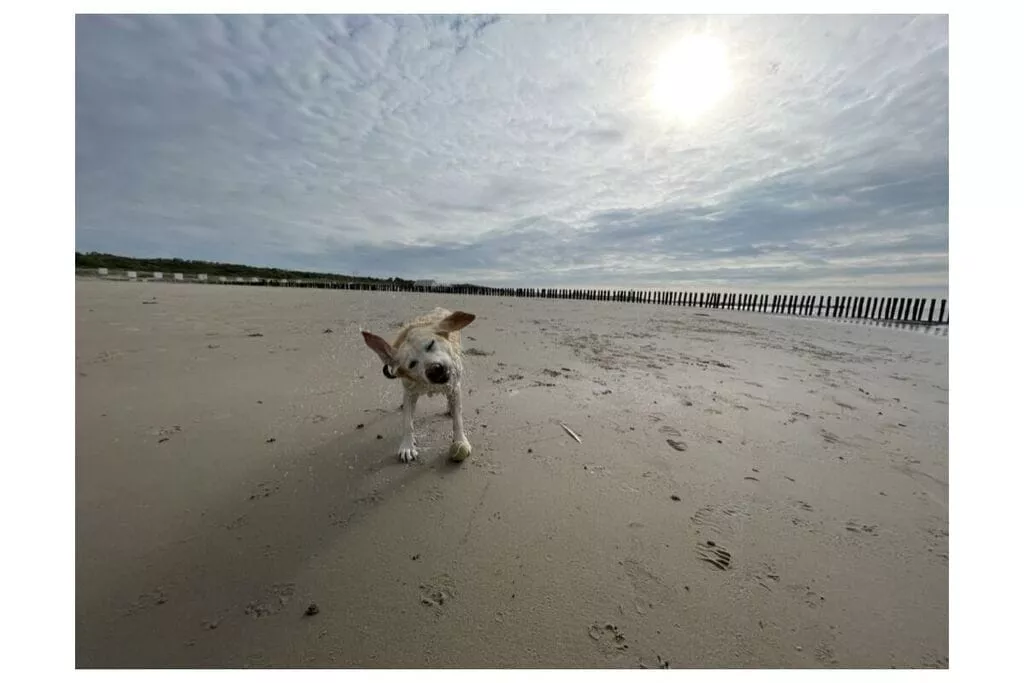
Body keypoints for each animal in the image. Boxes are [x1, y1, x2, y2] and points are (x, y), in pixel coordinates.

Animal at [360, 309, 475, 464]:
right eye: (411, 364)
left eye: (430, 344)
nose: (434, 369)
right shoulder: (409, 393)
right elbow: (407, 421)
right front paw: (407, 446)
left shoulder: (454, 385)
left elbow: (458, 420)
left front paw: (460, 441)